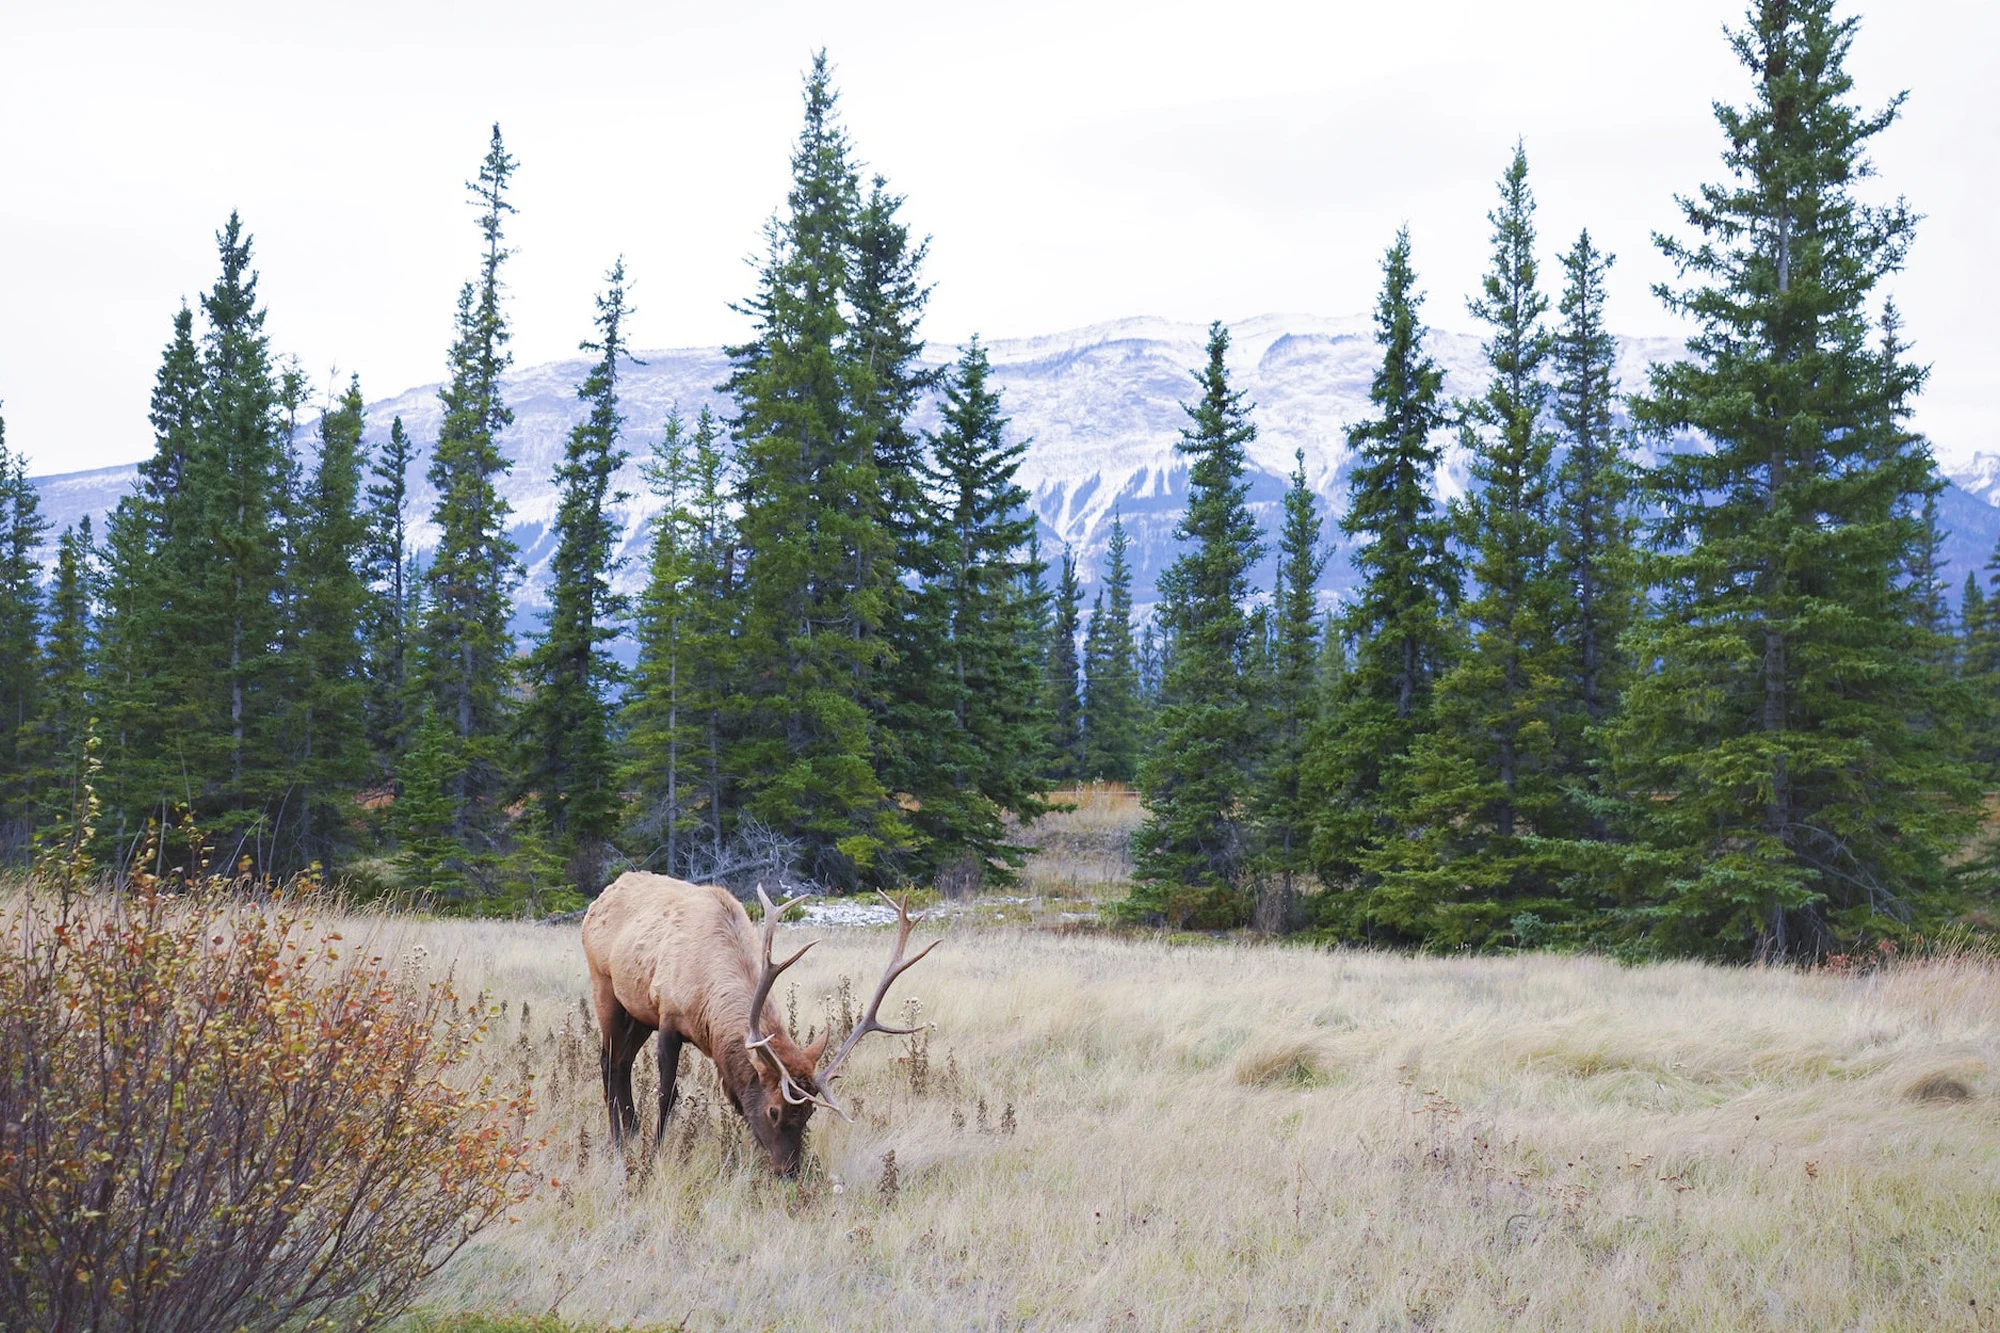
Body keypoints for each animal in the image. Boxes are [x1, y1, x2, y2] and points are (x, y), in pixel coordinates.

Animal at [584, 868, 940, 1168]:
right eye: (774, 1111)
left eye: (810, 1112)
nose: (790, 1171)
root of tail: (602, 896)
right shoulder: (669, 1018)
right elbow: (666, 1094)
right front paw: (656, 1152)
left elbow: (735, 1098)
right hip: (604, 985)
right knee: (609, 1061)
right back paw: (618, 1140)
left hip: (638, 1012)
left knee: (623, 1062)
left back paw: (631, 1131)